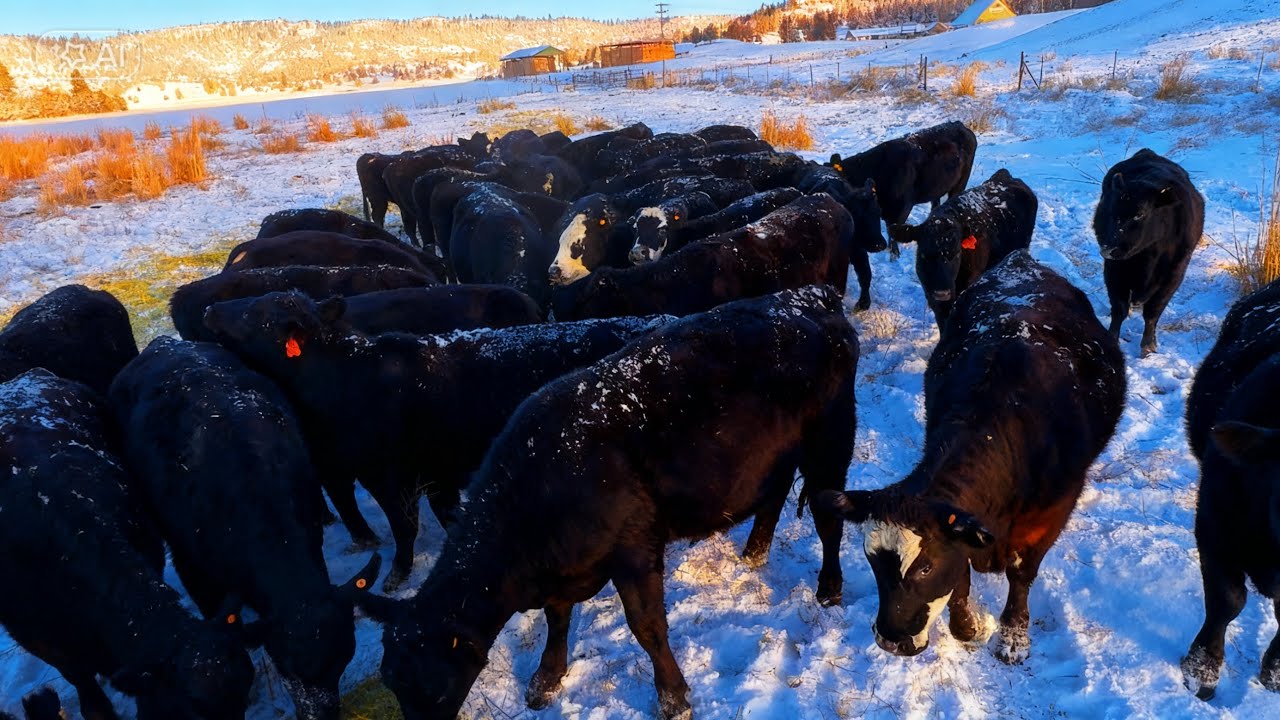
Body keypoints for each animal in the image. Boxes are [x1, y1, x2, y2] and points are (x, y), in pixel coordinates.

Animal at [202, 291, 672, 590]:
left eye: (255, 313)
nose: (210, 309)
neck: (347, 378)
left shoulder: (388, 476)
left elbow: (403, 527)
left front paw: (396, 576)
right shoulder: (436, 472)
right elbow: (448, 515)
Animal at [351, 286, 859, 720]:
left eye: (431, 686)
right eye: (391, 683)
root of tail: (804, 296)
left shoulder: (635, 550)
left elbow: (647, 627)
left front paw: (674, 698)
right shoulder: (561, 573)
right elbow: (557, 621)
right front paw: (546, 679)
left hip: (831, 442)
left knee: (828, 518)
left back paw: (829, 590)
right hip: (773, 456)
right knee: (774, 496)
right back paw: (753, 554)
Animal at [816, 251, 1125, 664]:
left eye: (925, 567)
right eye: (873, 561)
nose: (890, 640)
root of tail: (1021, 260)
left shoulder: (1047, 518)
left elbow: (1022, 574)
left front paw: (1013, 636)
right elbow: (960, 571)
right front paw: (965, 625)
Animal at [1093, 148, 1205, 356]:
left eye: (1140, 214)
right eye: (1111, 211)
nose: (1109, 248)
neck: (1146, 257)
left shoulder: (1174, 274)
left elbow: (1153, 310)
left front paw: (1148, 345)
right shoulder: (1113, 270)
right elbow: (1119, 308)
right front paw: (1111, 339)